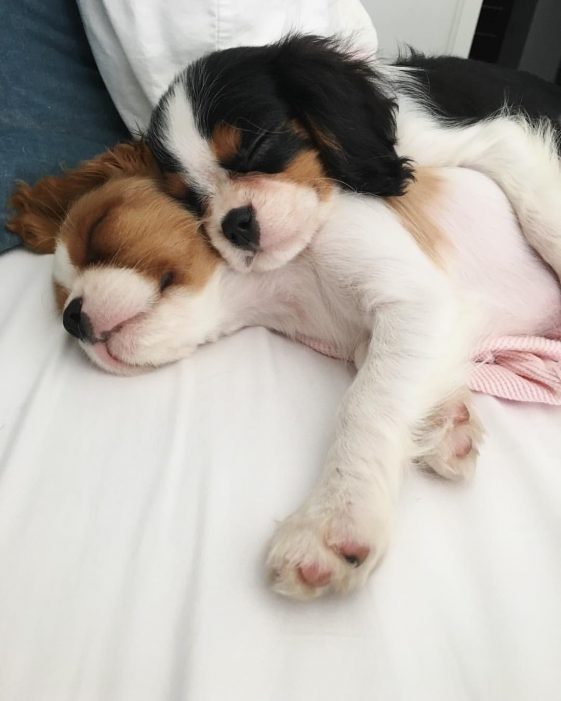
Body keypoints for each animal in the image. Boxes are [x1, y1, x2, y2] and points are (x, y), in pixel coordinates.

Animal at [7, 141, 560, 596]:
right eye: (60, 301)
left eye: (102, 229)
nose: (71, 318)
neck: (282, 286)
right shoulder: (372, 337)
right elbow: (385, 376)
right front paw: (446, 423)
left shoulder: (414, 301)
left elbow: (365, 404)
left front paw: (337, 514)